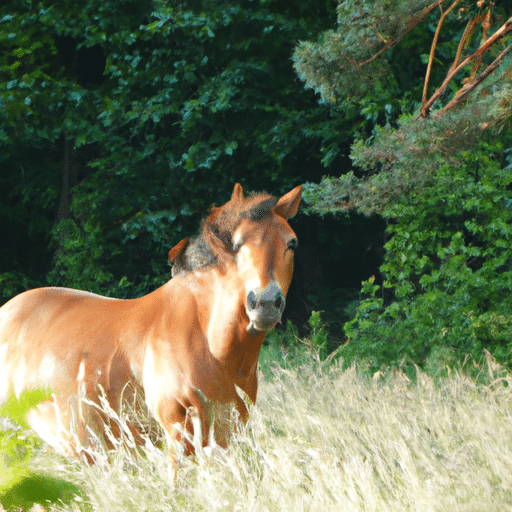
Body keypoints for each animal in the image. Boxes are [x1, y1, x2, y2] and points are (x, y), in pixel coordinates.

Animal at [0, 183, 300, 460]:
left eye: (291, 243)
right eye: (237, 245)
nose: (265, 303)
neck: (208, 339)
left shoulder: (230, 433)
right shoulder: (177, 433)